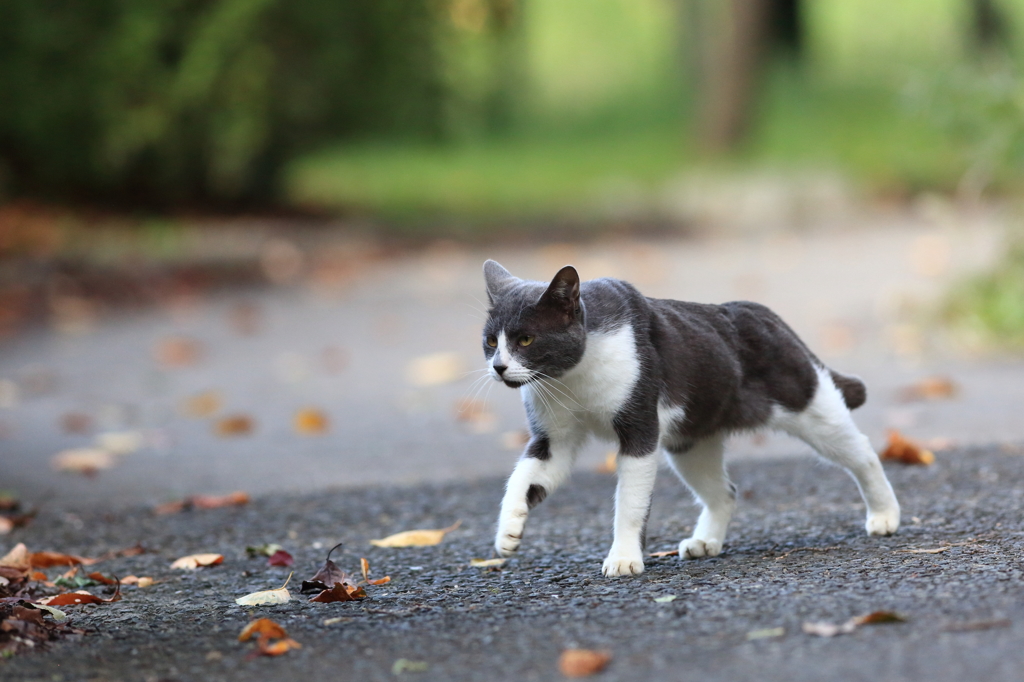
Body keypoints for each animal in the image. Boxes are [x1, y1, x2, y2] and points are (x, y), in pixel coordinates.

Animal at [483, 259, 901, 573]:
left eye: (526, 340)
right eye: (490, 341)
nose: (499, 367)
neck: (570, 378)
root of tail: (771, 318)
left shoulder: (640, 429)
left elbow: (629, 503)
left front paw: (623, 559)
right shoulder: (554, 438)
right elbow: (525, 477)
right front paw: (508, 532)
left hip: (808, 404)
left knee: (861, 451)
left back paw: (884, 516)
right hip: (691, 440)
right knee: (724, 491)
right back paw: (705, 542)